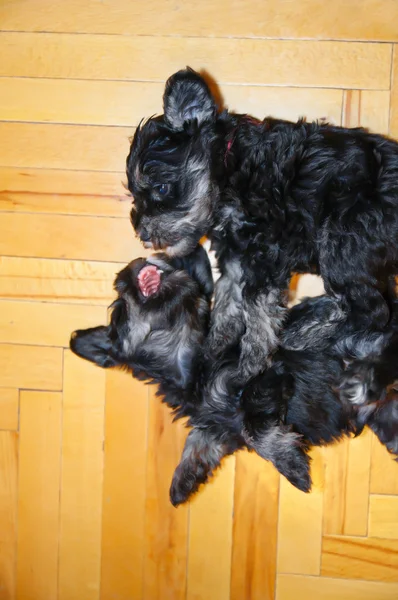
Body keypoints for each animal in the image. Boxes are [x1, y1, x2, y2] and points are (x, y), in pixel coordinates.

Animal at [127, 64, 398, 384]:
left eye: (161, 188)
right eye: (133, 195)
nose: (143, 233)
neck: (231, 168)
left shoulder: (264, 255)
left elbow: (256, 311)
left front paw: (250, 365)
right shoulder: (235, 257)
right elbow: (227, 302)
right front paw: (214, 347)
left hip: (343, 242)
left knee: (373, 311)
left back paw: (304, 337)